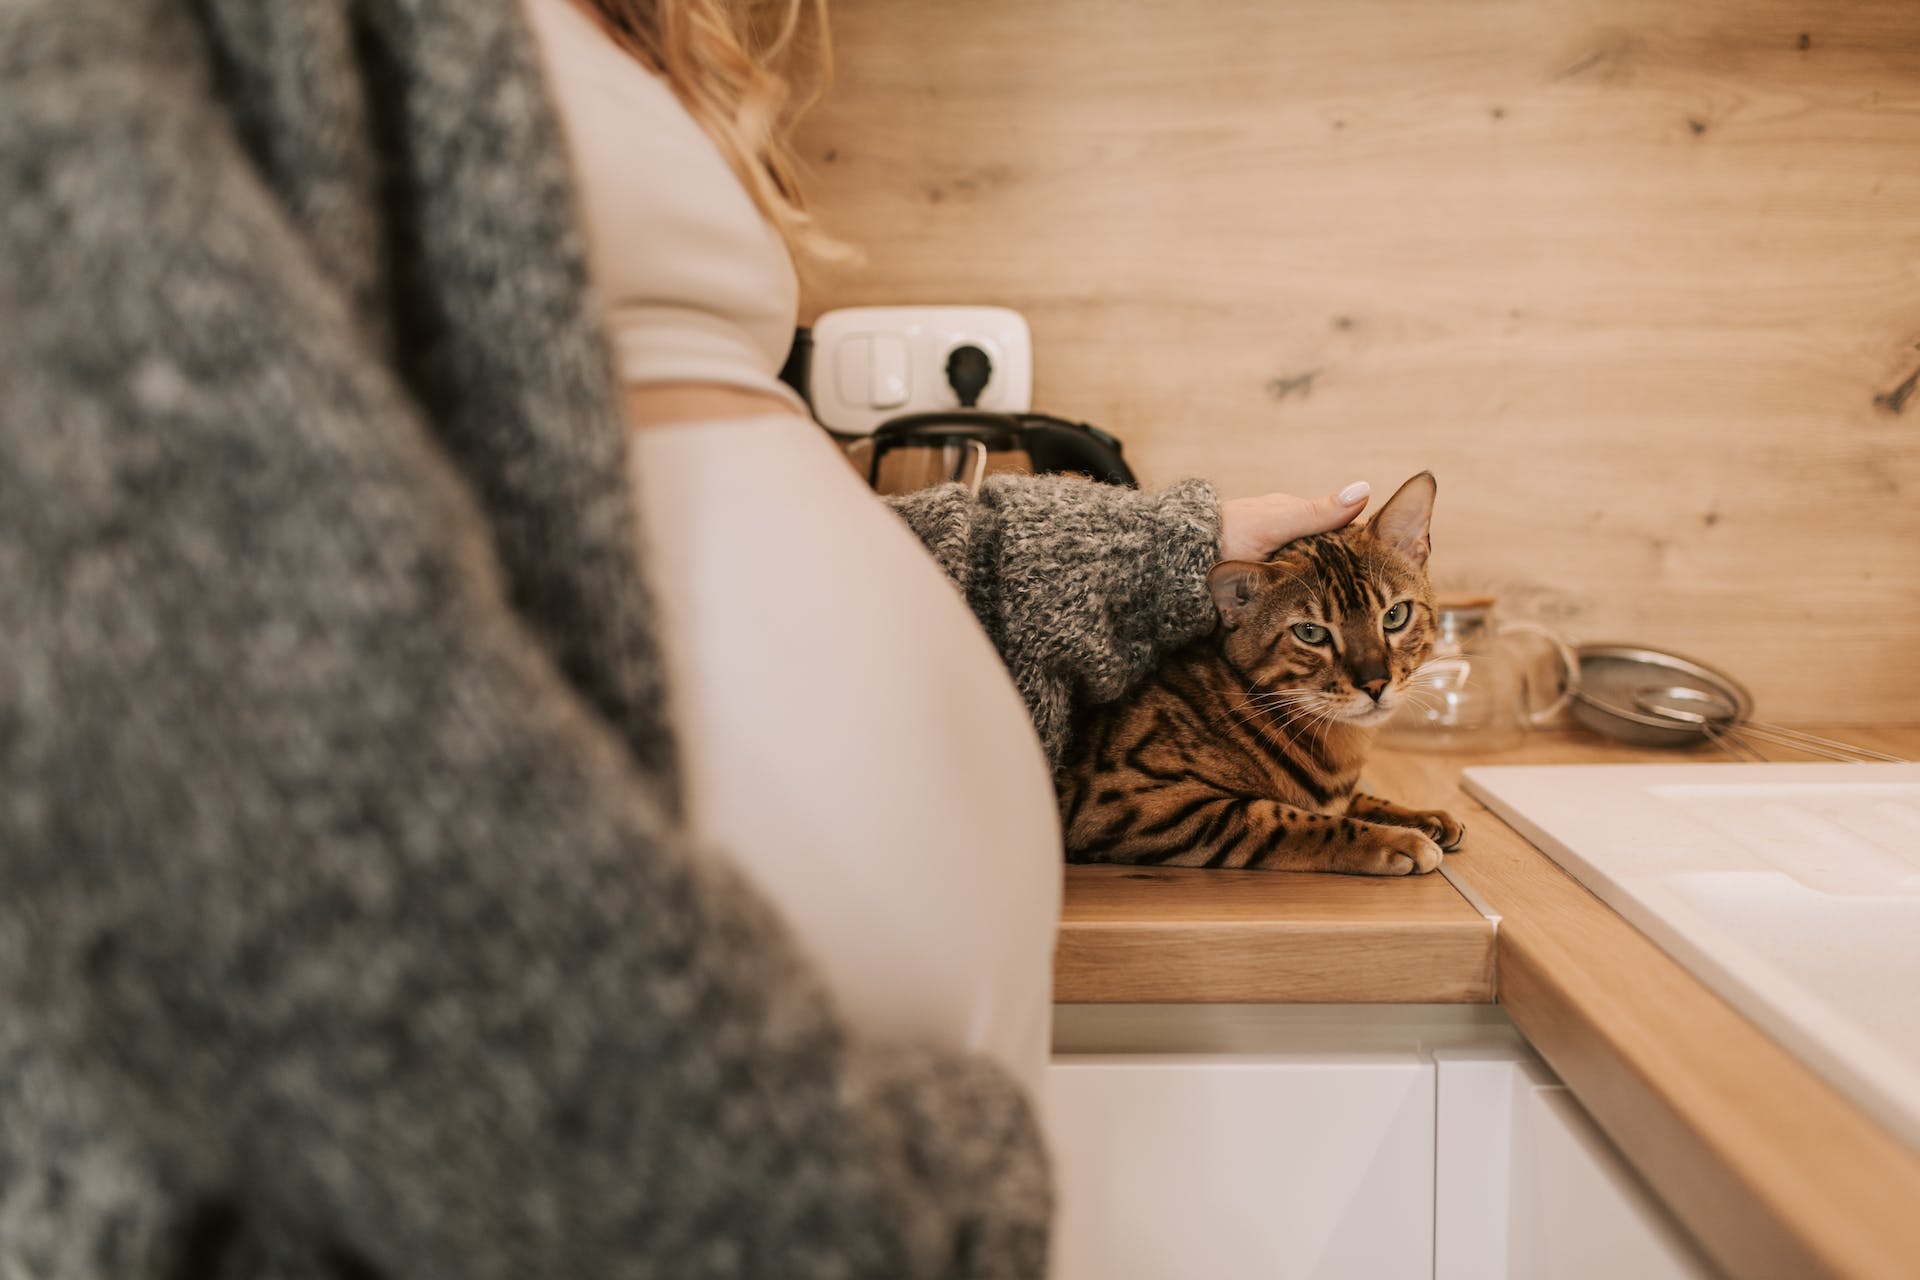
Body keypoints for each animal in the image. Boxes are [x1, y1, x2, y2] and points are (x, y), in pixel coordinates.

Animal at [1059, 475, 1459, 875]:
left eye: (1395, 615)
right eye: (1311, 633)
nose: (1375, 682)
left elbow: (1357, 800)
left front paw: (1421, 815)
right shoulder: (1135, 803)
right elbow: (1292, 819)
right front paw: (1394, 839)